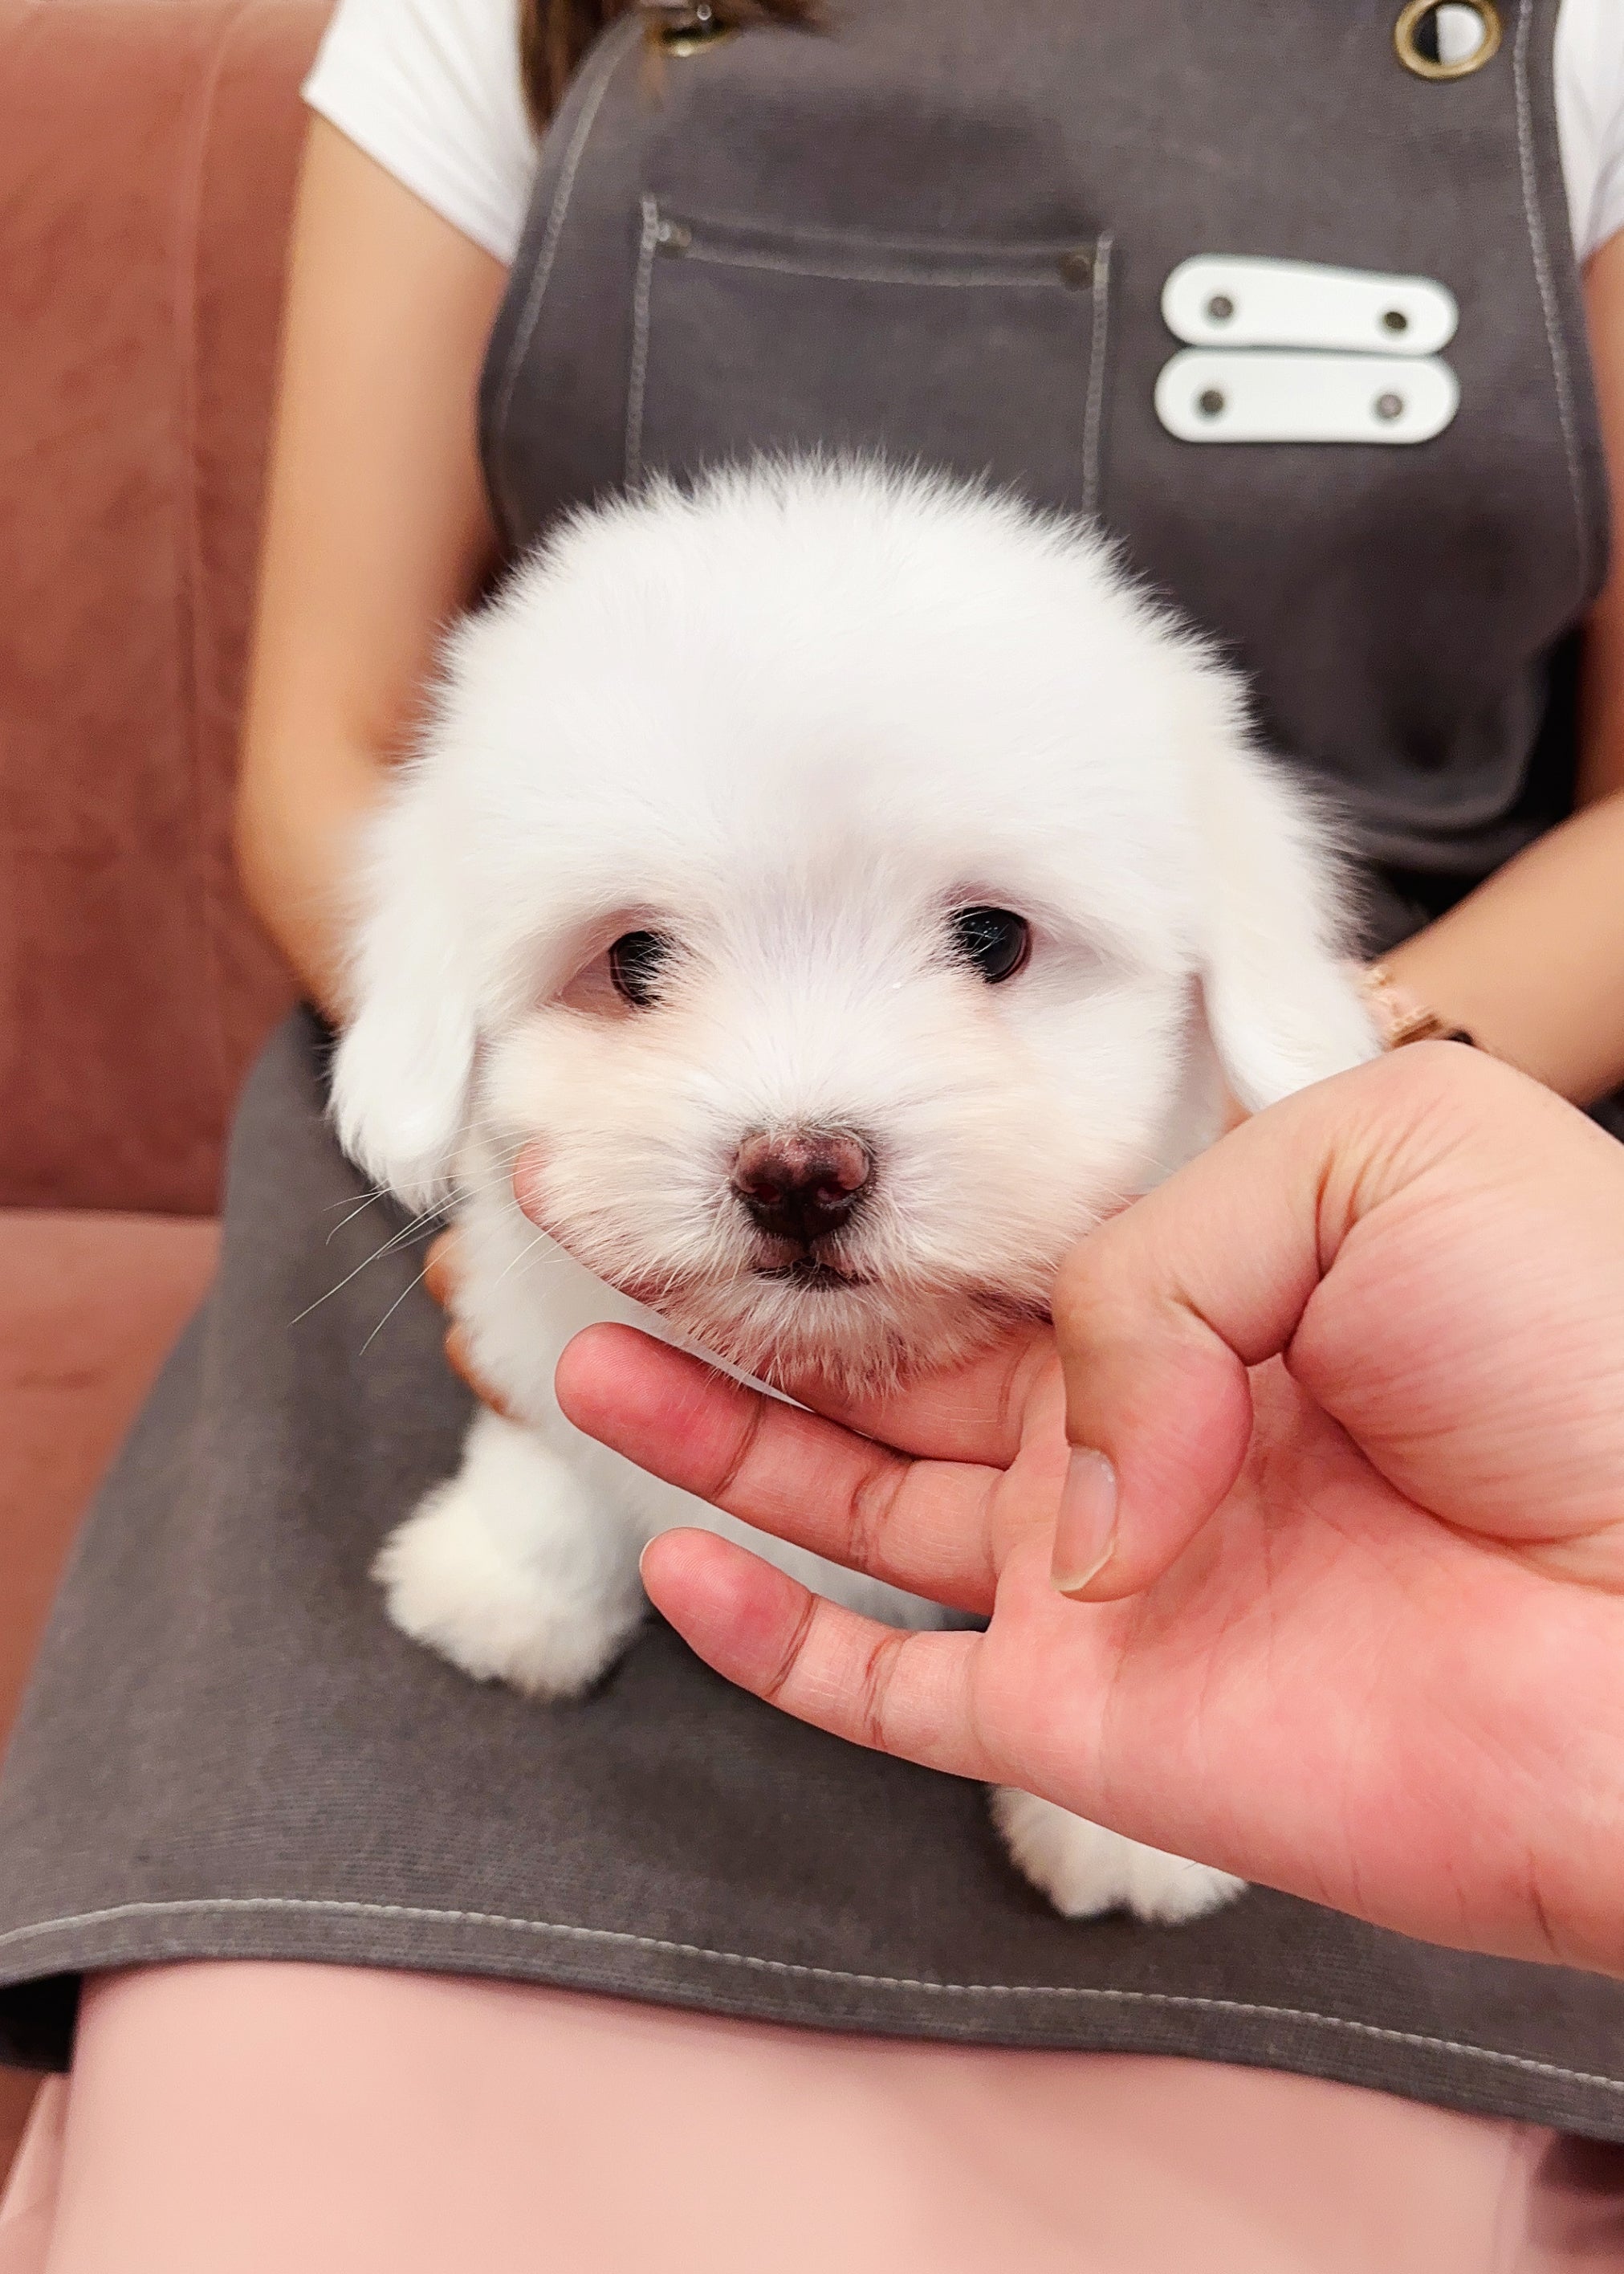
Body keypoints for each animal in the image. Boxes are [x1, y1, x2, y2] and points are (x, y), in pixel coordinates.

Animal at [334, 457, 1374, 1919]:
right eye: (634, 960)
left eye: (991, 939)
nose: (798, 1173)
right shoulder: (527, 1320)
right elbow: (549, 1439)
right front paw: (505, 1587)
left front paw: (1125, 1817)